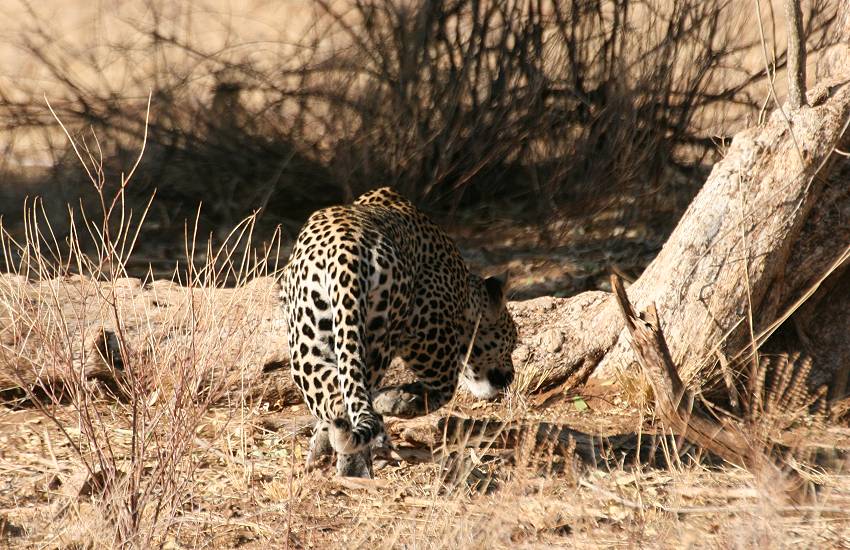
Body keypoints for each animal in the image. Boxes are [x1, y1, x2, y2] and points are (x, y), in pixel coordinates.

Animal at [282, 187, 512, 478]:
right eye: (512, 343)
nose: (510, 376)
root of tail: (347, 254)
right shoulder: (430, 340)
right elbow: (443, 389)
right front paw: (401, 403)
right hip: (381, 338)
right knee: (358, 396)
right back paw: (357, 464)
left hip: (310, 344)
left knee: (340, 398)